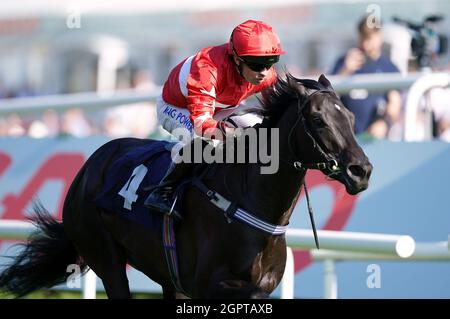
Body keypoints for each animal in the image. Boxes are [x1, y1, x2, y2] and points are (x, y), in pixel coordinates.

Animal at [0, 74, 372, 298]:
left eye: (352, 118)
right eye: (318, 120)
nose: (361, 171)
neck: (251, 203)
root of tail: (89, 167)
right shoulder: (211, 284)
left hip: (167, 276)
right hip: (105, 258)